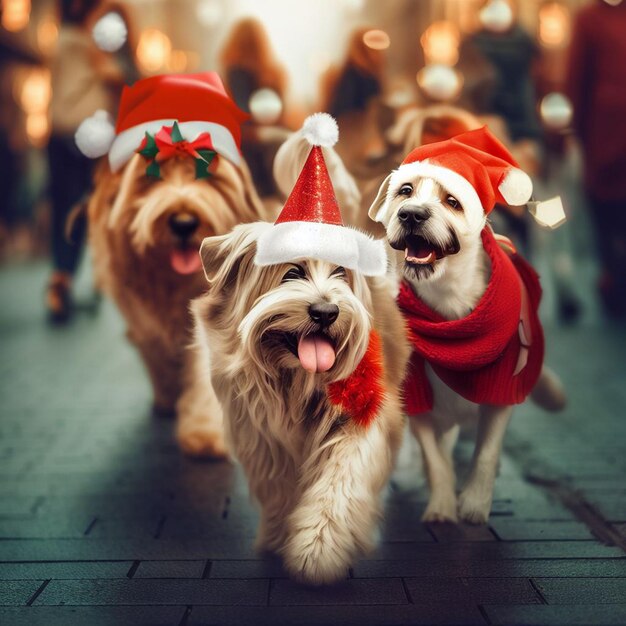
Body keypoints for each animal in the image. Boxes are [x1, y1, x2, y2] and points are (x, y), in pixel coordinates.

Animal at [87, 151, 264, 454]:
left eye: (208, 172)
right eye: (150, 176)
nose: (183, 223)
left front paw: (204, 431)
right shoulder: (144, 319)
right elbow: (157, 354)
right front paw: (168, 395)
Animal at [183, 222, 410, 584]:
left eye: (341, 272)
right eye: (292, 273)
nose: (326, 312)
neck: (297, 382)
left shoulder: (361, 419)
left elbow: (340, 482)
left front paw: (318, 550)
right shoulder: (261, 436)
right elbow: (279, 488)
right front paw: (279, 536)